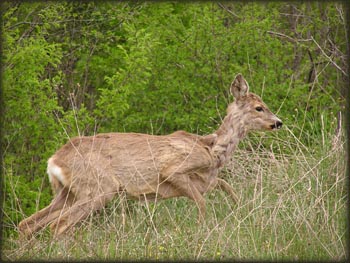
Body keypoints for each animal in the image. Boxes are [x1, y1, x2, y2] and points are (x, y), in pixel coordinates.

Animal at [18, 73, 282, 238]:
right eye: (259, 108)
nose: (278, 122)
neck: (212, 150)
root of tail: (54, 161)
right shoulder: (173, 170)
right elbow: (202, 204)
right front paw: (202, 230)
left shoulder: (207, 181)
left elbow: (228, 188)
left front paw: (242, 212)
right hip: (98, 188)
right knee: (59, 225)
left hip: (66, 192)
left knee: (27, 224)